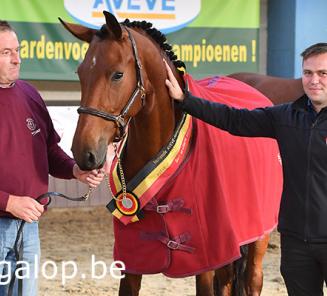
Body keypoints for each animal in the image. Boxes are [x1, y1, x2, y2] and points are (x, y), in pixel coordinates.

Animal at [59, 10, 302, 294]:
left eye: (117, 75)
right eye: (80, 73)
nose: (84, 152)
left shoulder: (204, 262)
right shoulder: (133, 262)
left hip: (258, 237)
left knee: (252, 278)